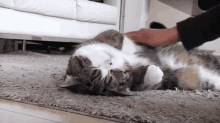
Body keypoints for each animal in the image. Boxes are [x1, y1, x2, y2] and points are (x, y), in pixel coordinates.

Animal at [61, 23, 220, 96]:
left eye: (112, 71)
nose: (110, 62)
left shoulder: (105, 36)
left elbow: (118, 36)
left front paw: (128, 47)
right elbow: (149, 80)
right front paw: (156, 71)